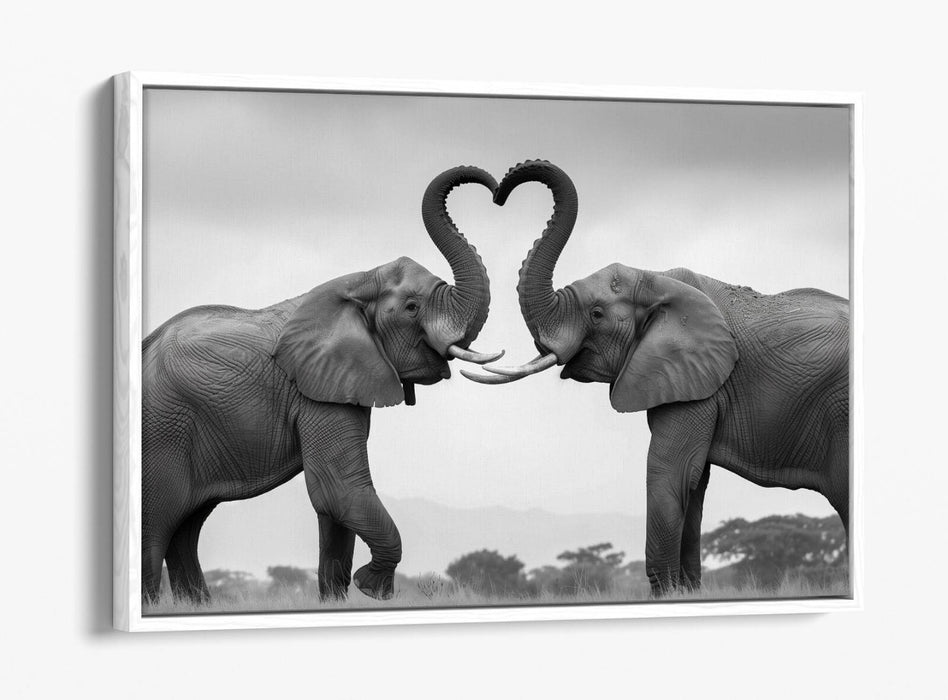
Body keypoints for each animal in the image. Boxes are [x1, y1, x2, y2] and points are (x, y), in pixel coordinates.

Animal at [142, 165, 503, 604]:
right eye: (412, 307)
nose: (495, 187)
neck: (357, 281)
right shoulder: (315, 389)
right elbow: (337, 489)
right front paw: (373, 587)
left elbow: (335, 503)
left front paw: (340, 597)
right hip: (162, 434)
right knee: (155, 530)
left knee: (185, 529)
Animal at [464, 160, 850, 595]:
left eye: (596, 314)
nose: (499, 192)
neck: (655, 278)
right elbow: (694, 484)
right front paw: (688, 593)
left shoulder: (696, 382)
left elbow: (670, 474)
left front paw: (666, 594)